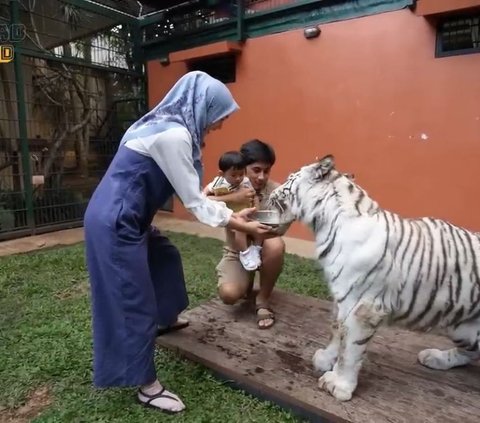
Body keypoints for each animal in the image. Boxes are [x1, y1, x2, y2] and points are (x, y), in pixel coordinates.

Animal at [266, 157, 480, 404]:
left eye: (289, 180)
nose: (271, 192)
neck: (325, 223)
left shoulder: (364, 307)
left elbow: (349, 349)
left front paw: (339, 385)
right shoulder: (342, 299)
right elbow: (336, 332)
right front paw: (326, 359)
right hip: (461, 327)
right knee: (470, 352)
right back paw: (435, 358)